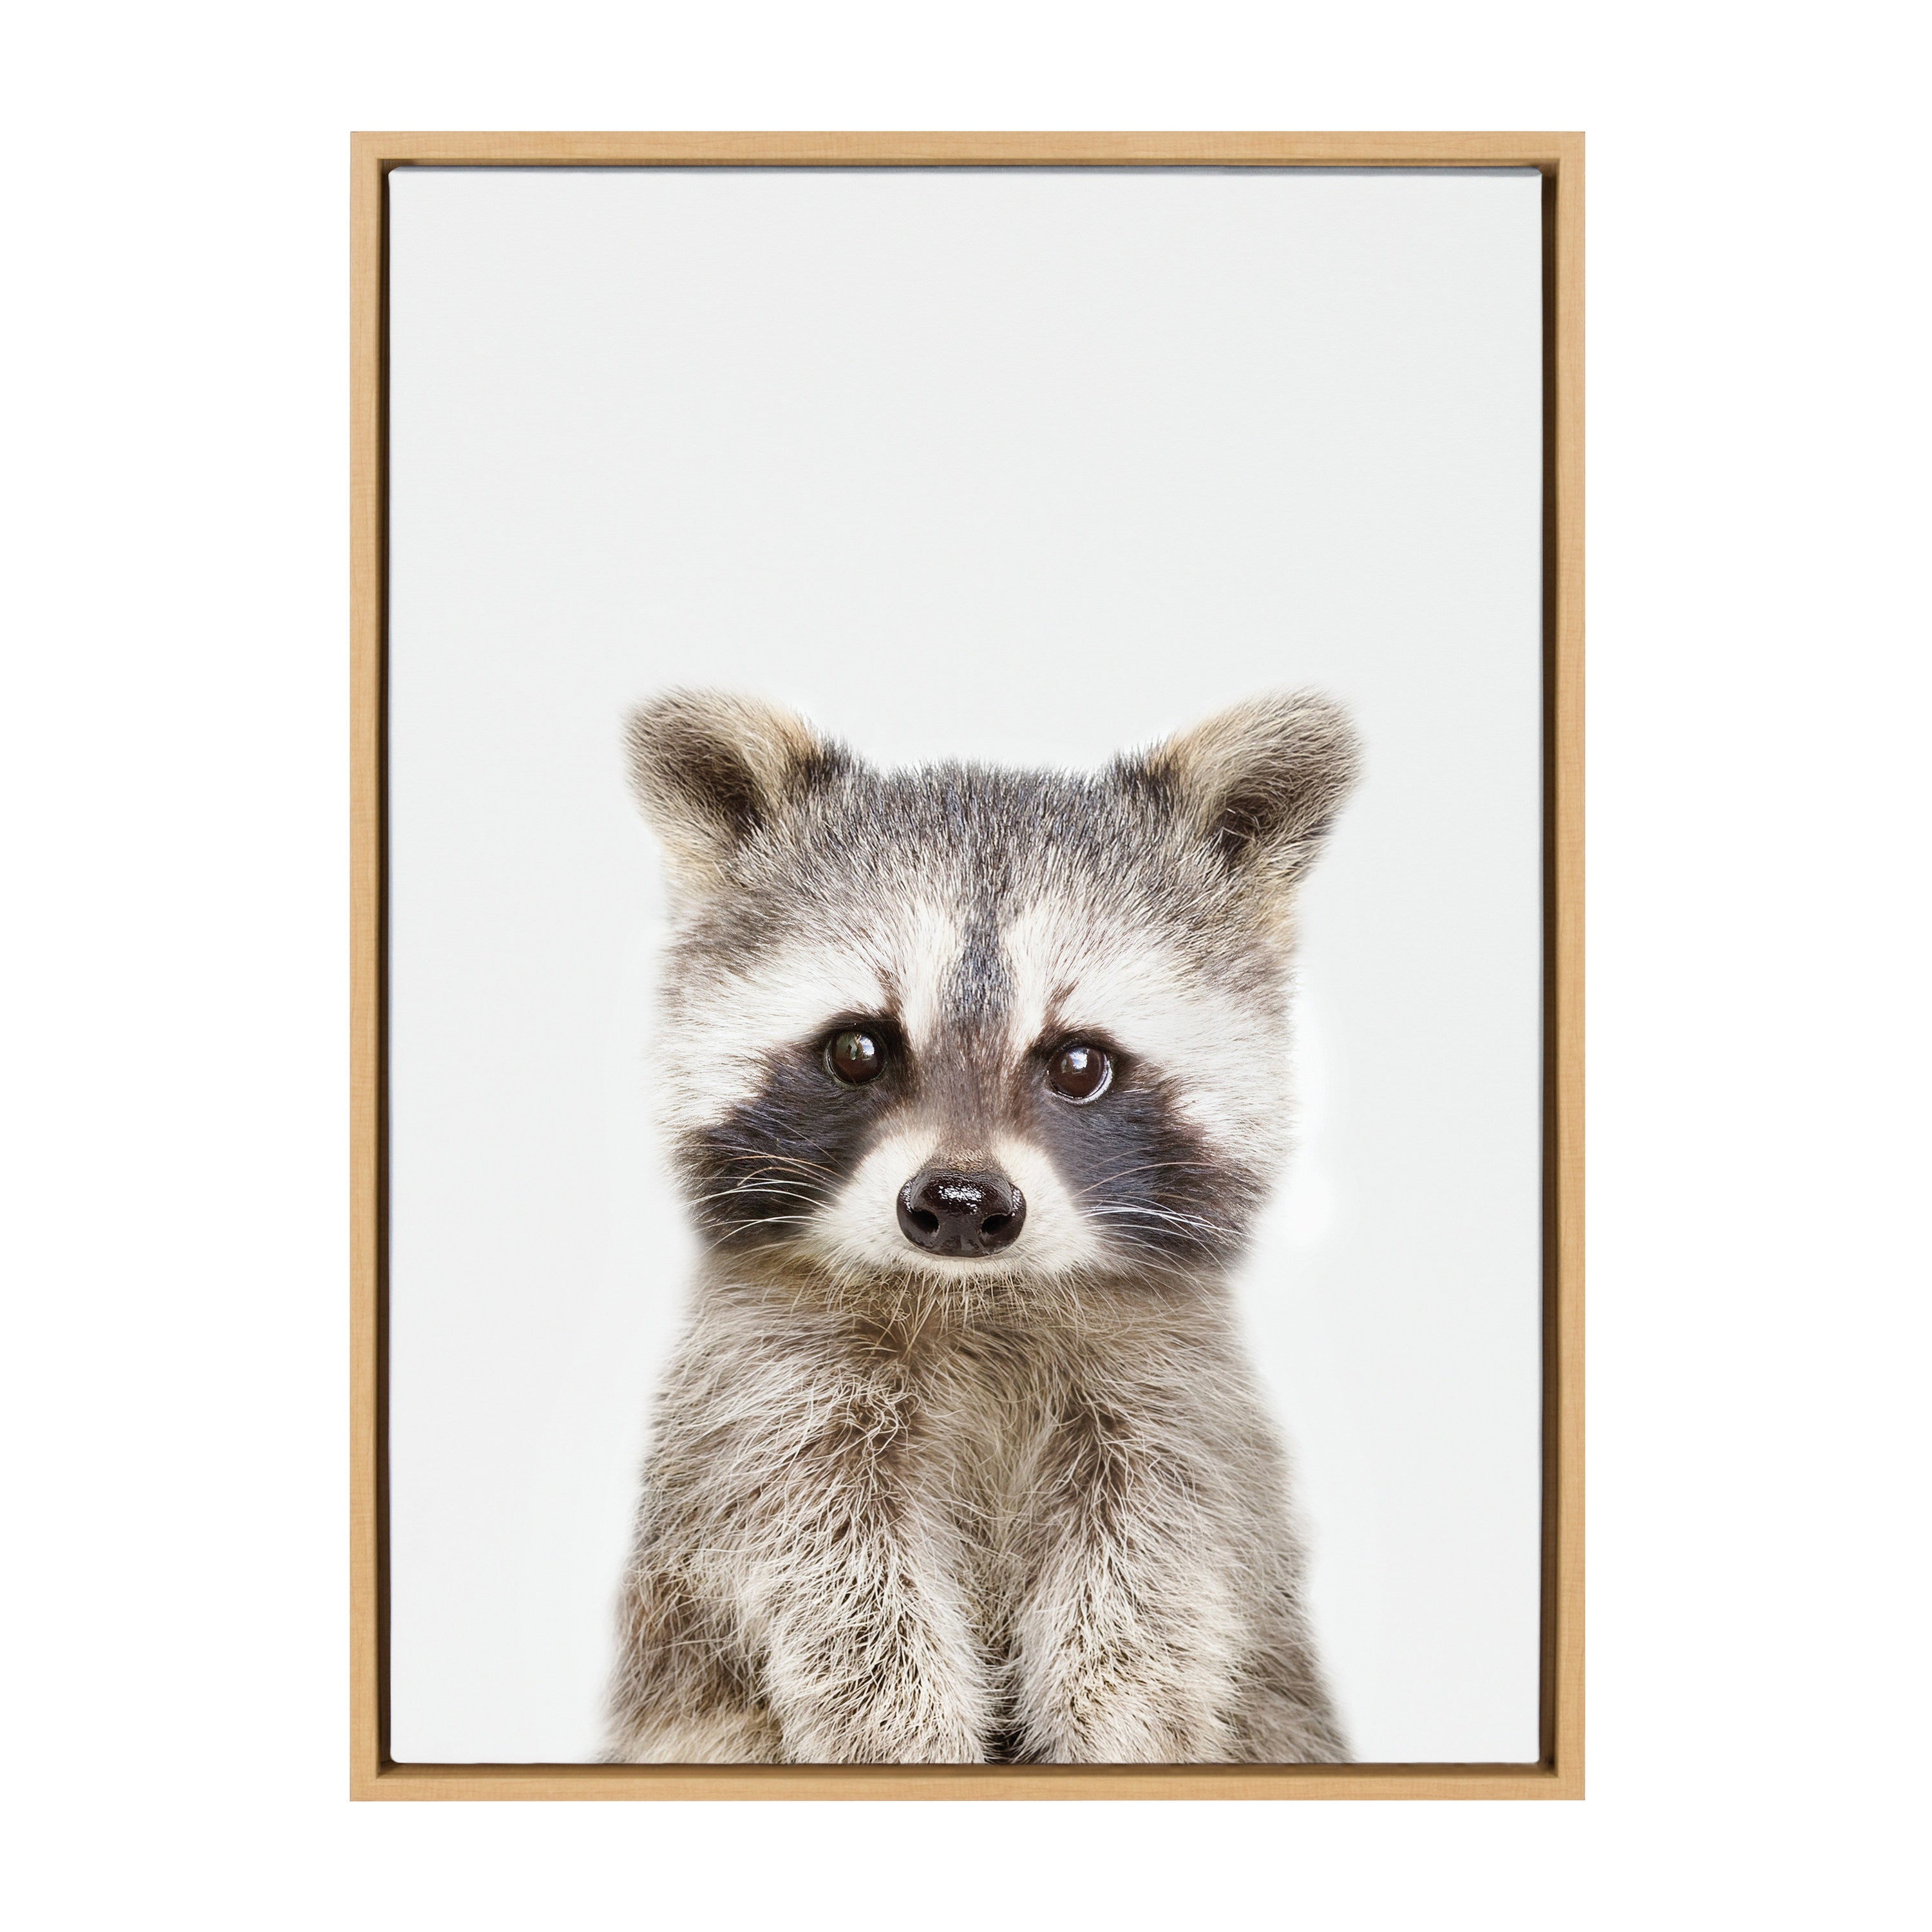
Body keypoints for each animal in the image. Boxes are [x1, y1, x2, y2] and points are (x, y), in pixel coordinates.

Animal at [603, 688, 1358, 1765]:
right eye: (858, 1049)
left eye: (1080, 1063)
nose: (961, 1207)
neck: (976, 1300)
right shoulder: (763, 1396)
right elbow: (831, 1575)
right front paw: (902, 1737)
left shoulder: (1174, 1400)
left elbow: (1155, 1578)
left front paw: (1115, 1729)